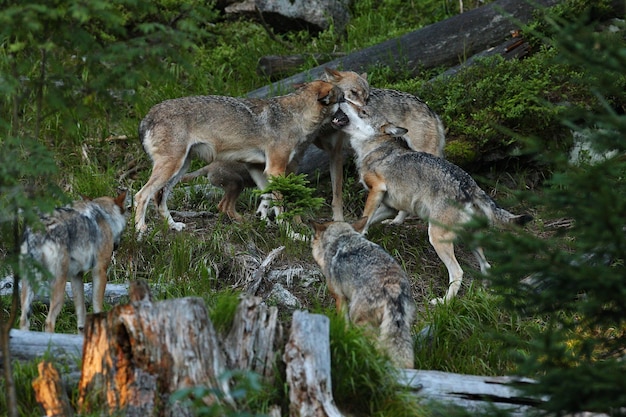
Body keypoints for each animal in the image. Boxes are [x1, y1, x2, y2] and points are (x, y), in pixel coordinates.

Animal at [19, 191, 127, 332]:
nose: (116, 246)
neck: (104, 214)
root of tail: (38, 231)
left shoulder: (76, 276)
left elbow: (81, 315)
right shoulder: (100, 270)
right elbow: (97, 307)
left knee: (23, 320)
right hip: (59, 288)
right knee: (49, 322)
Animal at [308, 216, 414, 368]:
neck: (341, 237)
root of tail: (393, 287)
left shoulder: (340, 298)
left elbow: (344, 324)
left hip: (359, 321)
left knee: (379, 347)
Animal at [330, 102, 528, 304]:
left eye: (363, 110)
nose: (343, 98)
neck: (373, 148)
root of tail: (470, 185)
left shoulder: (377, 189)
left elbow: (365, 217)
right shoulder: (389, 206)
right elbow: (366, 220)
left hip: (437, 238)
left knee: (458, 272)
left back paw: (443, 302)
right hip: (470, 239)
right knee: (486, 266)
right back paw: (486, 291)